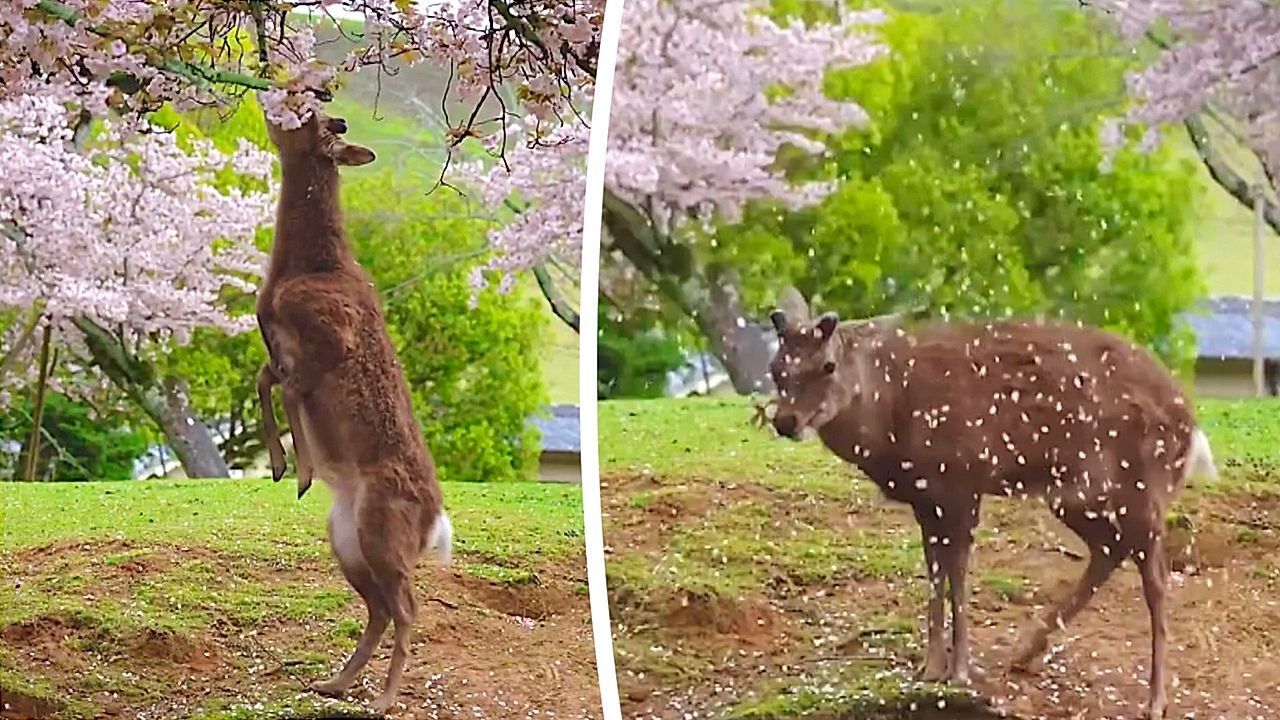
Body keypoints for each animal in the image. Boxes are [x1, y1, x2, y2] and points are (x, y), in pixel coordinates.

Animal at [255, 108, 453, 714]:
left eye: (311, 115)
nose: (274, 103)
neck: (309, 268)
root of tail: (436, 524)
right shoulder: (283, 350)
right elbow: (265, 379)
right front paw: (283, 466)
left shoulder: (330, 342)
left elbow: (284, 388)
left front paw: (300, 469)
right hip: (347, 538)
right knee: (381, 608)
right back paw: (336, 683)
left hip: (384, 530)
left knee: (407, 607)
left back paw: (383, 699)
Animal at [766, 298, 1218, 720]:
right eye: (775, 367)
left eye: (827, 365)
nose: (785, 421)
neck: (892, 418)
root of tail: (1191, 423)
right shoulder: (927, 499)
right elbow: (935, 572)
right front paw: (931, 667)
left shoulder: (962, 481)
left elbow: (958, 572)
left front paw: (959, 670)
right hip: (1076, 495)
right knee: (1109, 550)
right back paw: (1025, 651)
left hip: (1140, 487)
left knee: (1156, 578)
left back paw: (1155, 699)